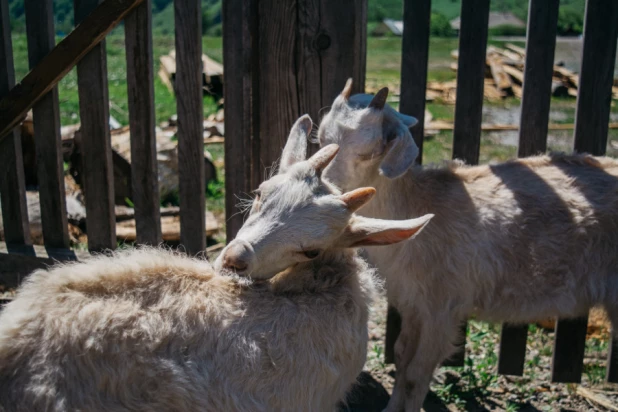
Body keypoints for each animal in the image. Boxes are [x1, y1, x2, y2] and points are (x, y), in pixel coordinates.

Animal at [316, 79, 616, 410]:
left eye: (368, 152)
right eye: (320, 139)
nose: (329, 192)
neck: (420, 206)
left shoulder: (442, 305)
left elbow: (416, 373)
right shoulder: (414, 303)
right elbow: (402, 357)